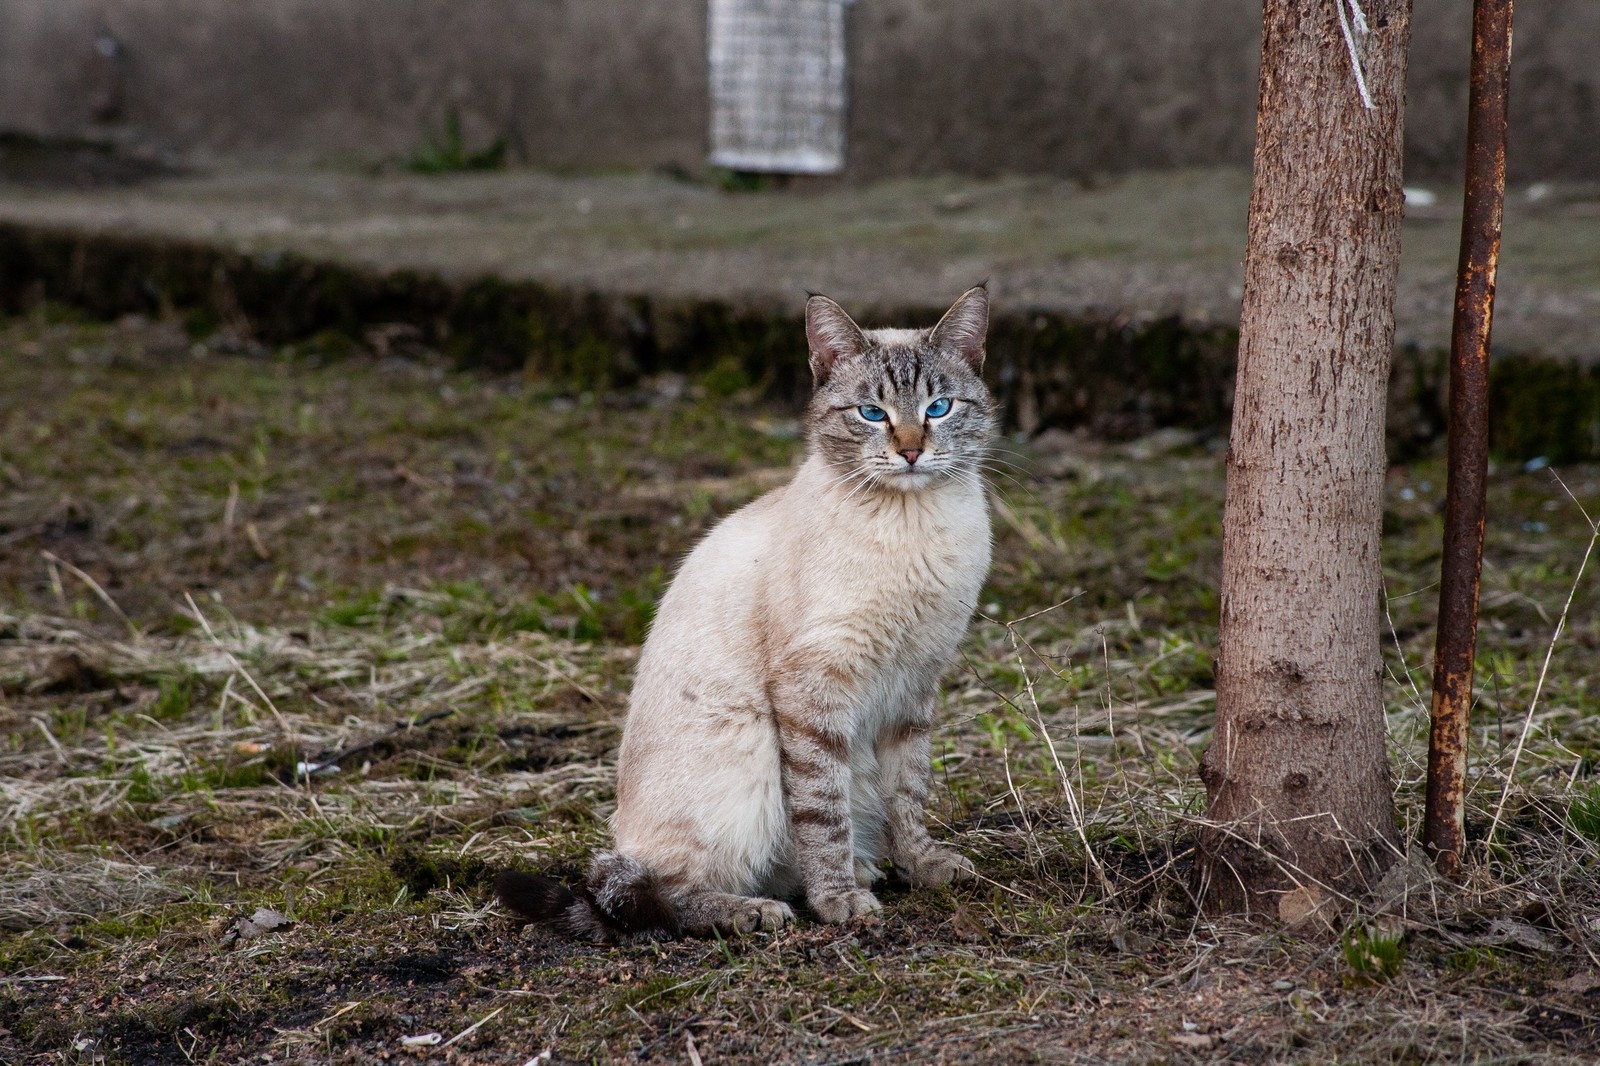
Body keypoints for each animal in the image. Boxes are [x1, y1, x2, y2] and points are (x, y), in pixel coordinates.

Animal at [499, 284, 992, 941]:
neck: (912, 529)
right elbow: (822, 813)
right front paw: (837, 902)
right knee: (659, 890)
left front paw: (923, 868)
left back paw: (857, 871)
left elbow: (909, 795)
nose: (911, 451)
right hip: (747, 756)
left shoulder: (915, 683)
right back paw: (759, 909)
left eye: (938, 408)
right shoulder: (815, 688)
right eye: (871, 413)